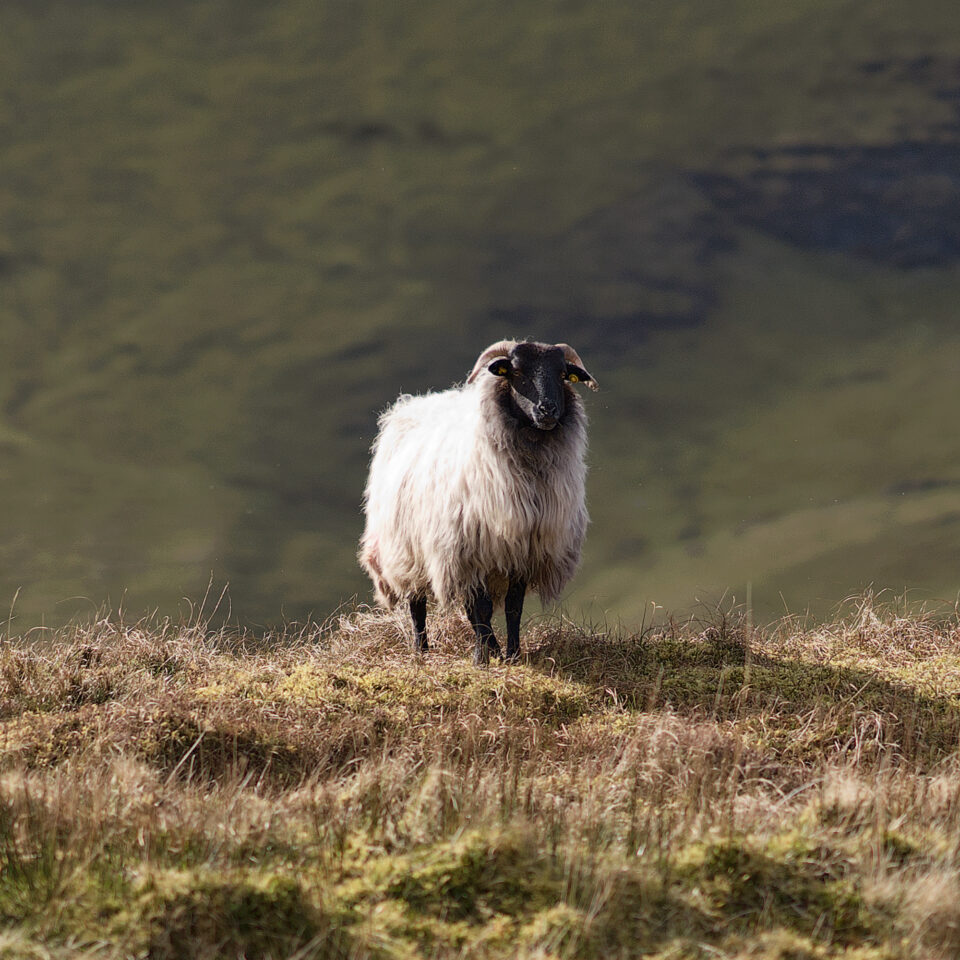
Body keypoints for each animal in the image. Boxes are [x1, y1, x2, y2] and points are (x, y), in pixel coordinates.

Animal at [358, 339, 597, 663]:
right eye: (516, 372)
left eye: (562, 374)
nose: (548, 409)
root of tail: (410, 405)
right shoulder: (470, 554)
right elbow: (479, 610)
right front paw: (480, 659)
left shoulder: (522, 553)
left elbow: (512, 608)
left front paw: (512, 654)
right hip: (406, 548)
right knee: (418, 604)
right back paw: (422, 650)